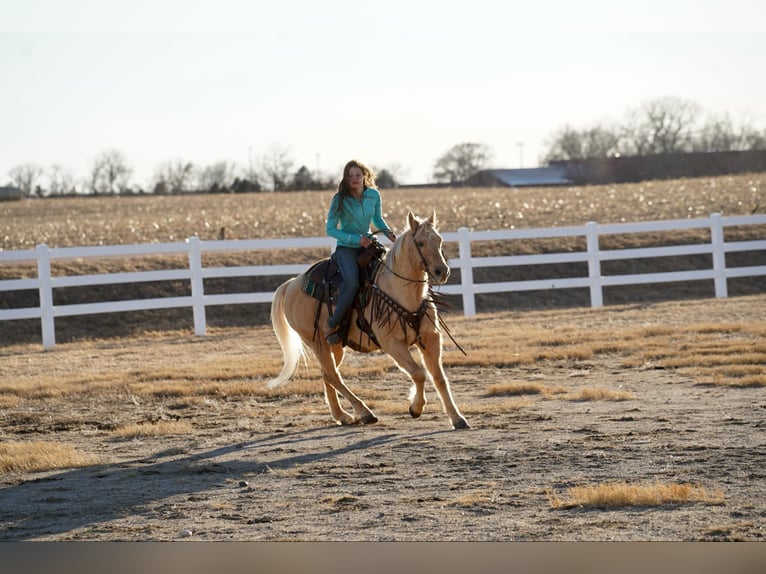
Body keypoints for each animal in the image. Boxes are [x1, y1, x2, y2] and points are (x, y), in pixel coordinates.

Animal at [270, 213, 474, 432]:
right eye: (420, 242)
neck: (401, 292)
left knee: (327, 373)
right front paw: (415, 408)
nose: (441, 271)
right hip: (317, 342)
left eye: (439, 240)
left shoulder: (431, 339)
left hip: (335, 345)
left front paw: (457, 418)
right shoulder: (392, 343)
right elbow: (418, 373)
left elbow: (439, 378)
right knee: (332, 375)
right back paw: (365, 412)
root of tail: (291, 284)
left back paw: (342, 415)